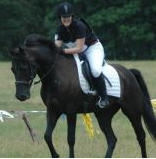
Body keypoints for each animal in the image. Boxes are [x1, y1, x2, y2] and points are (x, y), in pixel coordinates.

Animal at [10, 33, 156, 158]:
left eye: (24, 67)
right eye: (12, 69)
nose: (21, 96)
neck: (55, 74)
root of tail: (129, 73)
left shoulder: (70, 111)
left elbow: (70, 139)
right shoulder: (53, 110)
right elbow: (47, 135)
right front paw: (55, 155)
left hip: (132, 111)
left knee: (140, 135)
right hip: (103, 115)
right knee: (112, 139)